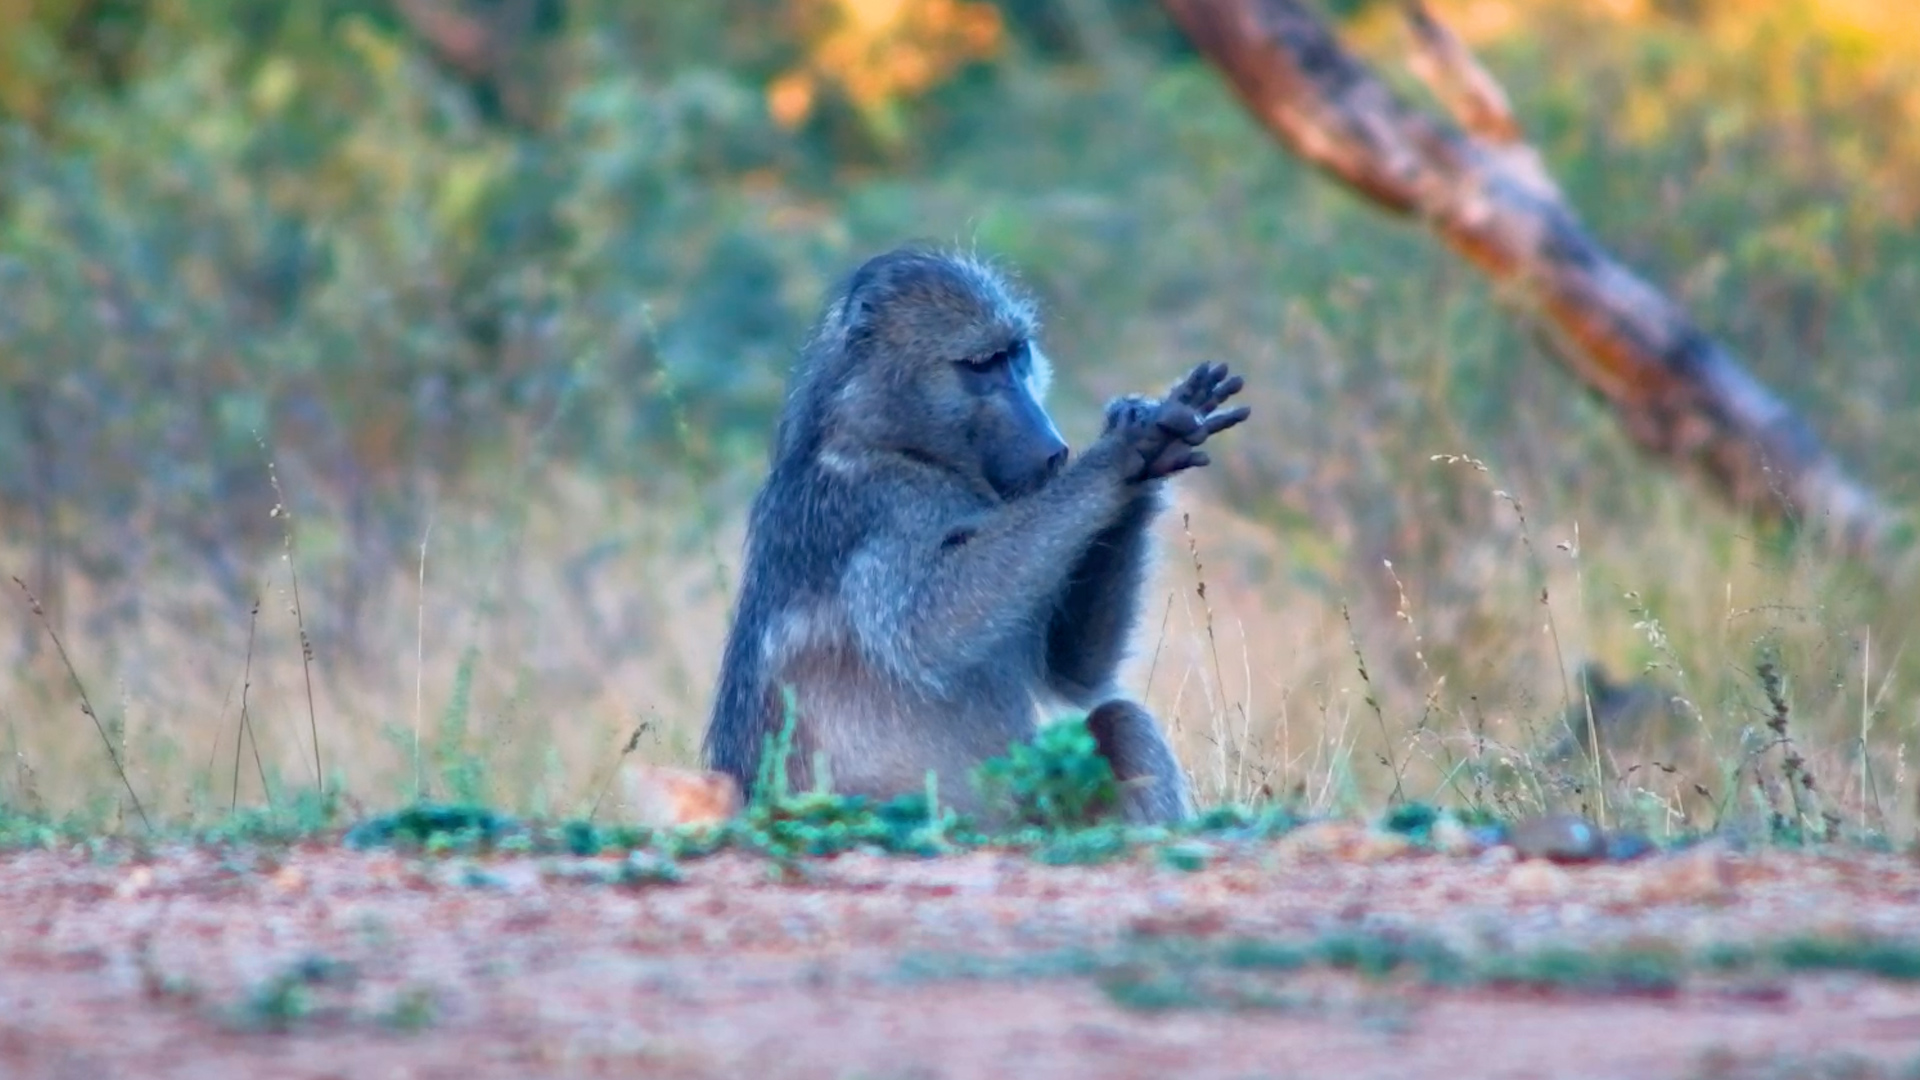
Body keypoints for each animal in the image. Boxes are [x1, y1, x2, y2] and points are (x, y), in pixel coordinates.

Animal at [702, 245, 1249, 825]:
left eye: (1017, 355)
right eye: (980, 365)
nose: (1053, 450)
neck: (898, 446)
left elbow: (1073, 670)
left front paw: (1143, 443)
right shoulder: (873, 510)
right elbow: (926, 627)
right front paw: (1128, 451)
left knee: (1119, 721)